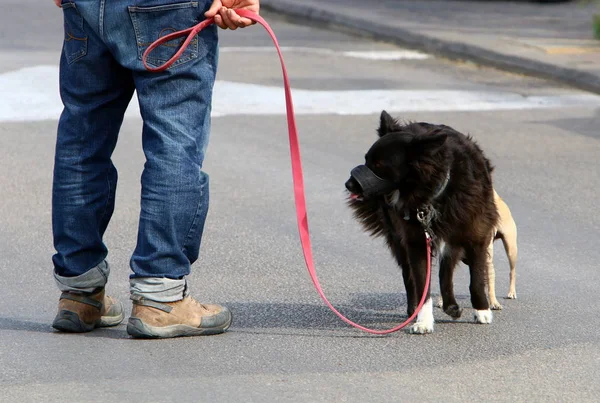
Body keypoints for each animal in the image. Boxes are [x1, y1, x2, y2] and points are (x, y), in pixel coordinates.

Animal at [344, 111, 500, 334]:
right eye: (366, 160)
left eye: (379, 165)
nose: (348, 185)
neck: (436, 191)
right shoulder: (416, 241)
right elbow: (421, 283)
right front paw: (423, 320)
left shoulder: (476, 233)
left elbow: (477, 277)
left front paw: (482, 310)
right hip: (400, 240)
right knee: (409, 275)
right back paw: (414, 311)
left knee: (446, 270)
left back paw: (451, 306)